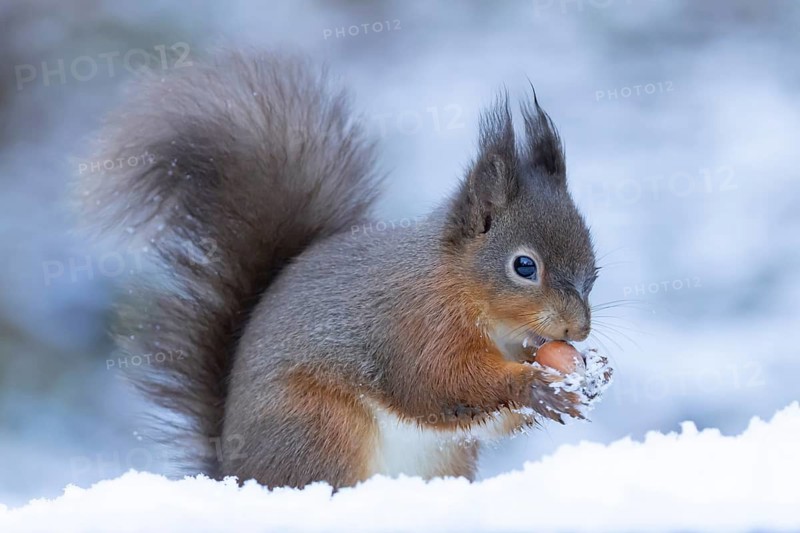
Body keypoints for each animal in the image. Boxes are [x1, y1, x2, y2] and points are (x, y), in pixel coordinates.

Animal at [79, 50, 611, 489]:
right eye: (524, 266)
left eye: (594, 269)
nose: (578, 329)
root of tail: (233, 475)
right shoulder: (414, 328)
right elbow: (440, 383)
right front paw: (536, 386)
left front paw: (591, 376)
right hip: (318, 428)